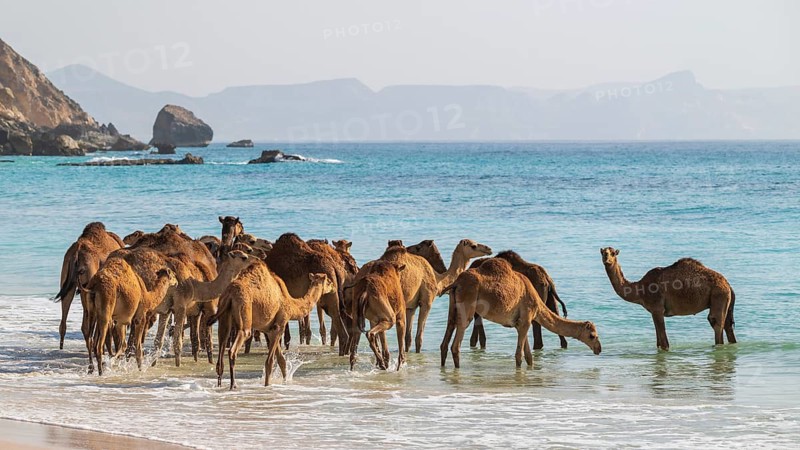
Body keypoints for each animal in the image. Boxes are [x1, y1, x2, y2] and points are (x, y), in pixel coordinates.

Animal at [356, 239, 492, 353]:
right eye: (473, 246)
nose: (489, 249)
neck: (438, 279)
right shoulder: (427, 301)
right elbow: (419, 338)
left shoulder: (411, 307)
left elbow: (408, 338)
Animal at [440, 258, 601, 368]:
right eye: (592, 335)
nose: (599, 349)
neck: (537, 304)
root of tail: (457, 283)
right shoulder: (526, 320)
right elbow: (520, 354)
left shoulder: (520, 324)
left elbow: (529, 356)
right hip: (468, 302)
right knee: (456, 343)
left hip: (453, 305)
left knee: (447, 334)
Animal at [600, 247, 736, 350]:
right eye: (603, 252)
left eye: (613, 253)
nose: (607, 260)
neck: (639, 289)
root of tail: (728, 284)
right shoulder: (653, 311)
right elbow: (658, 342)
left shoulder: (657, 308)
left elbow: (664, 343)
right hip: (725, 300)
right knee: (728, 326)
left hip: (718, 295)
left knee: (716, 322)